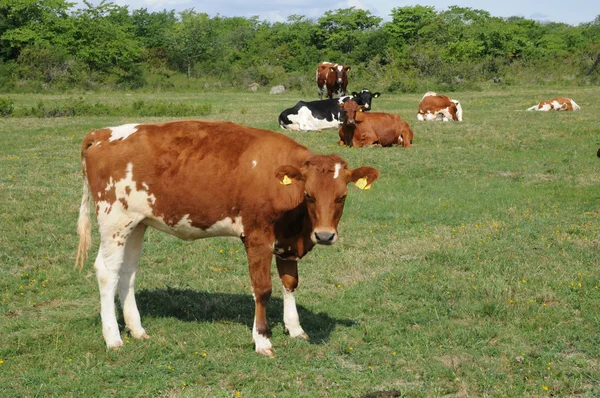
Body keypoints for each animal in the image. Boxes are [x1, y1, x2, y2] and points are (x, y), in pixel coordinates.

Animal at [74, 119, 376, 356]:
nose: (324, 235)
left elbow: (290, 283)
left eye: (342, 196)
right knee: (107, 272)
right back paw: (113, 338)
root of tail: (103, 133)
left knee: (127, 273)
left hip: (136, 224)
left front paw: (295, 328)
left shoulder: (287, 241)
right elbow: (262, 289)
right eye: (309, 195)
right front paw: (262, 340)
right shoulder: (257, 238)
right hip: (114, 221)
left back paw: (137, 329)